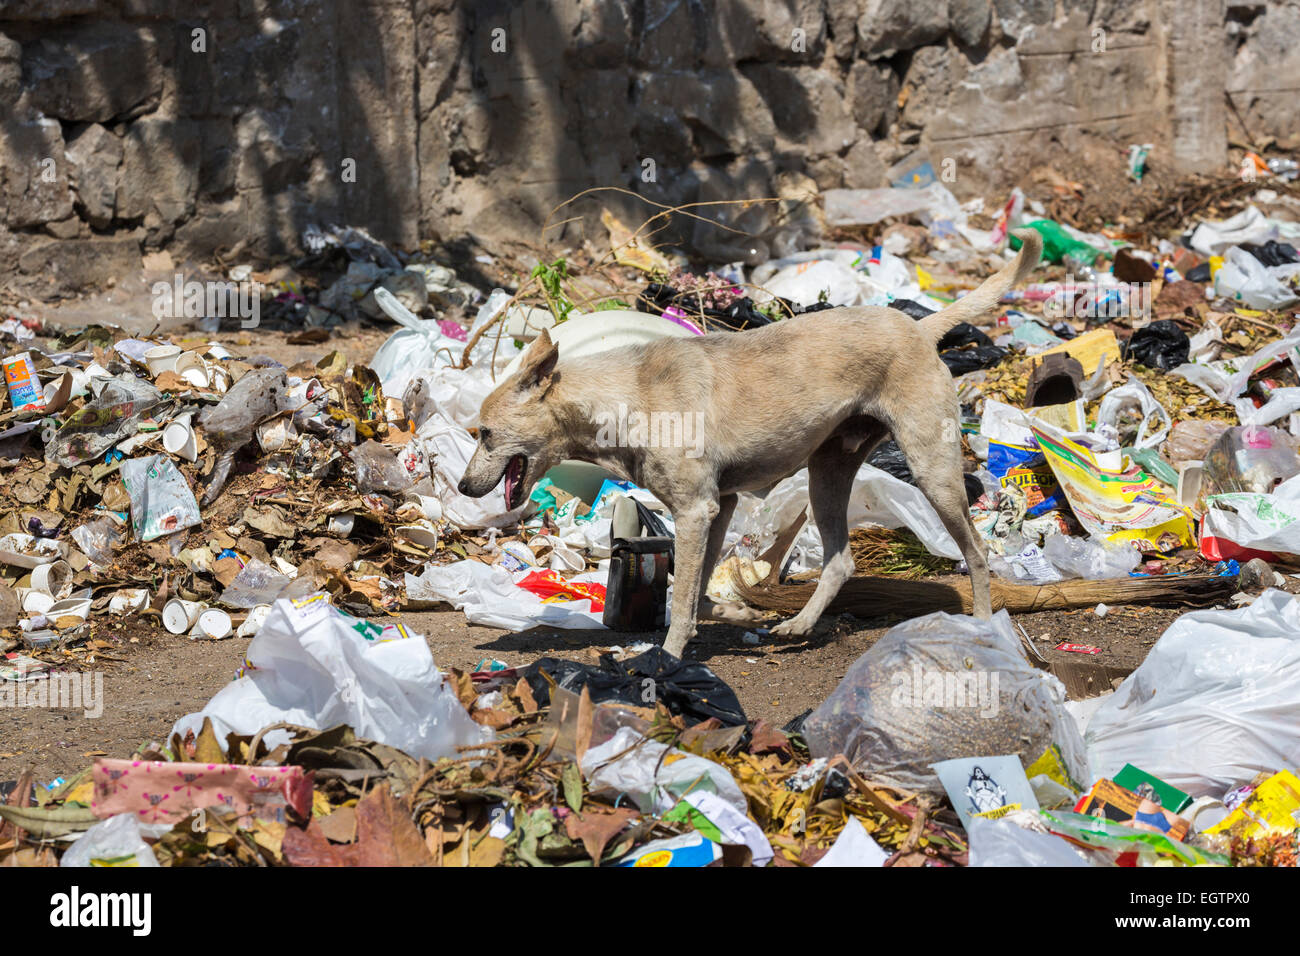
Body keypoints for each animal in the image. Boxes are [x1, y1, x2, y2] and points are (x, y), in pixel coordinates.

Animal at [460, 230, 1045, 658]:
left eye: (485, 433)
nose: (463, 487)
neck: (626, 397)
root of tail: (920, 330)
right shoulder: (719, 507)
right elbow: (696, 593)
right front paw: (737, 613)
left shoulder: (696, 512)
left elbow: (682, 595)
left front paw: (667, 658)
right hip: (827, 472)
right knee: (840, 562)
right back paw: (799, 624)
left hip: (932, 471)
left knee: (977, 551)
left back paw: (982, 625)